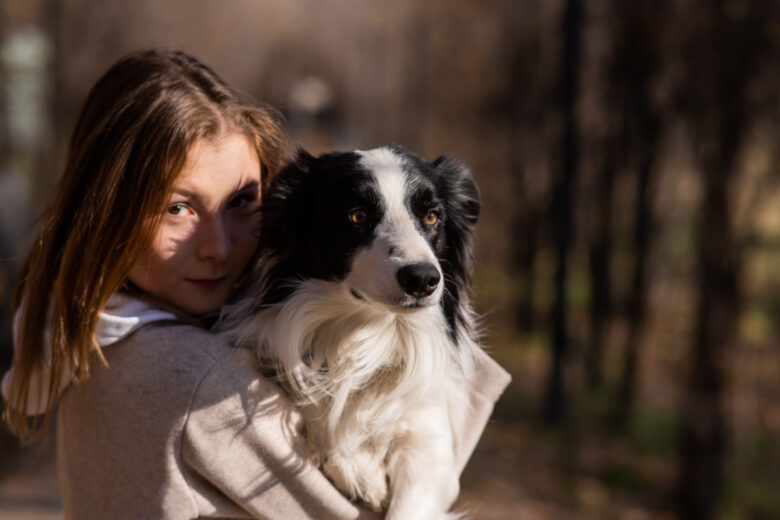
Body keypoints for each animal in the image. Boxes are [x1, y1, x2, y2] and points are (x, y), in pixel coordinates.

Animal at [221, 144, 482, 516]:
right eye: (357, 216)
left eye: (432, 216)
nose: (422, 279)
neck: (368, 331)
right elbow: (307, 382)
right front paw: (358, 469)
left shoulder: (430, 447)